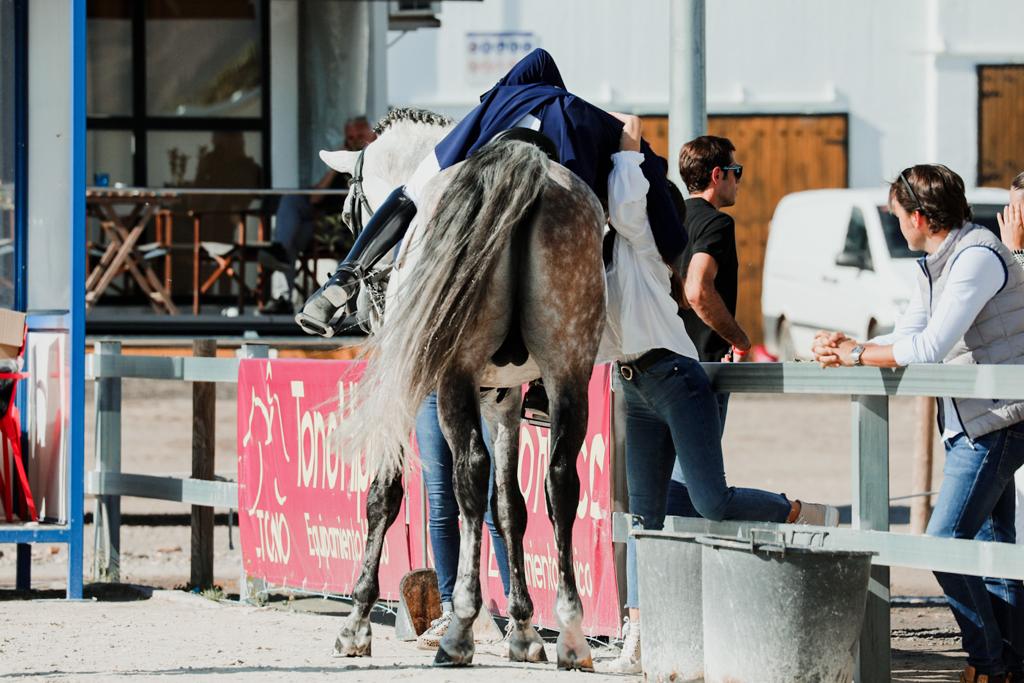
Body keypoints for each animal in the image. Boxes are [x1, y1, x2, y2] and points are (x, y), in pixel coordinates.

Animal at [317, 109, 606, 671]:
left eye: (346, 213)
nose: (362, 301)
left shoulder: (413, 386)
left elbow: (384, 496)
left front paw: (356, 622)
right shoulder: (505, 399)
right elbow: (509, 506)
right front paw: (524, 629)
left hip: (455, 374)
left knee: (468, 473)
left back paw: (460, 632)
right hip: (569, 370)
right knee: (560, 483)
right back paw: (571, 633)